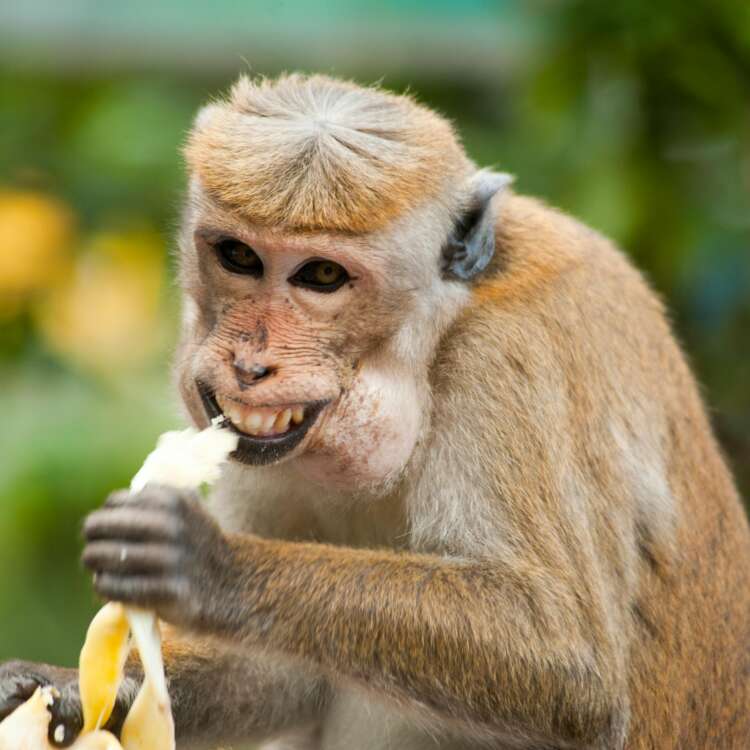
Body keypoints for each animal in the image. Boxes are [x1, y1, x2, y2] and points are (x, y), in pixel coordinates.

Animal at [1, 73, 749, 750]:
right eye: (239, 256)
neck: (435, 337)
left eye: (322, 276)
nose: (250, 364)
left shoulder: (507, 364)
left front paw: (208, 565)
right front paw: (66, 688)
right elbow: (282, 672)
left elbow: (568, 658)